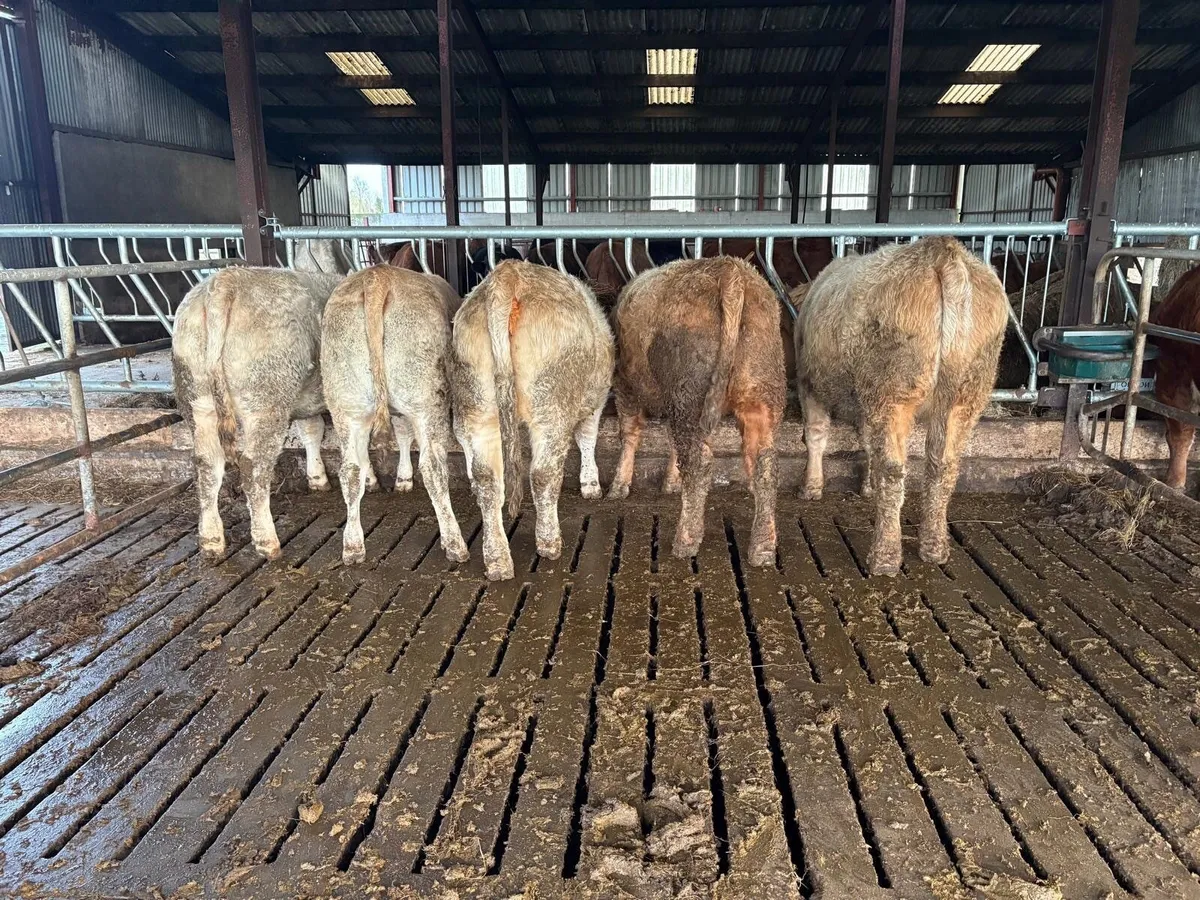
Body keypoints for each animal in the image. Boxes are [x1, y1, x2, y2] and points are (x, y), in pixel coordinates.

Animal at [172, 264, 368, 560]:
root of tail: (227, 279)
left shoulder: (308, 399)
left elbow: (312, 431)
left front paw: (317, 478)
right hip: (265, 402)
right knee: (253, 468)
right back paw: (267, 541)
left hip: (197, 400)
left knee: (206, 464)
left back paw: (211, 540)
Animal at [321, 266, 469, 565]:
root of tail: (377, 277)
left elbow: (402, 435)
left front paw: (402, 479)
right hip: (426, 397)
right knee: (434, 469)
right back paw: (455, 544)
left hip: (346, 402)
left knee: (350, 471)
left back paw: (352, 547)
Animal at [451, 260, 614, 581]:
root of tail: (508, 275)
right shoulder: (596, 400)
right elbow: (588, 438)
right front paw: (591, 485)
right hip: (551, 407)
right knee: (543, 474)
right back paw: (549, 543)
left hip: (478, 406)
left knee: (487, 478)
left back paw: (498, 561)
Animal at [608, 257, 786, 566]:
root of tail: (730, 269)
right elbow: (669, 441)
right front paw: (671, 482)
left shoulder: (625, 384)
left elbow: (629, 433)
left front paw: (619, 486)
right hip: (760, 391)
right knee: (765, 462)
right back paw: (763, 547)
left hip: (689, 393)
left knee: (698, 461)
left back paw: (685, 540)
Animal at [795, 237, 1008, 575]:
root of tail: (942, 252)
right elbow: (868, 441)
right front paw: (866, 486)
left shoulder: (808, 381)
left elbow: (816, 435)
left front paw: (811, 487)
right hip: (965, 394)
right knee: (943, 467)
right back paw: (934, 548)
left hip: (893, 391)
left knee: (893, 470)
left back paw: (884, 557)